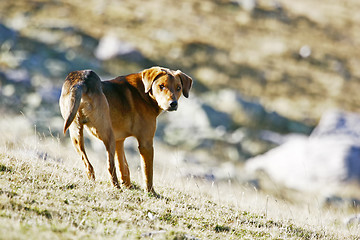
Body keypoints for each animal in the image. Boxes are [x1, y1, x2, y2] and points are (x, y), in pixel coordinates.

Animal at [59, 66, 193, 194]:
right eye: (161, 86)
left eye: (178, 88)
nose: (173, 104)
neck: (144, 92)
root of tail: (82, 81)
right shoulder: (146, 143)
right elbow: (147, 171)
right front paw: (151, 192)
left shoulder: (119, 140)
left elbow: (123, 165)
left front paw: (128, 185)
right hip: (107, 134)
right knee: (109, 165)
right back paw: (116, 187)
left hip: (76, 132)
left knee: (88, 164)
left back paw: (96, 182)